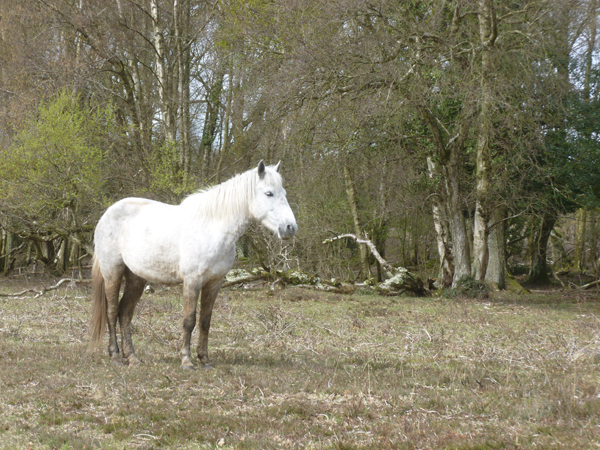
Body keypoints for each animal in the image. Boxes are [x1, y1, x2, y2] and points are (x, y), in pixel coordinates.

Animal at [91, 162, 298, 370]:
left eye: (284, 192)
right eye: (269, 193)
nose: (290, 228)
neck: (213, 229)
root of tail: (108, 213)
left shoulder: (215, 282)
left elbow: (205, 321)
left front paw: (204, 359)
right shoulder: (192, 281)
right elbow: (189, 321)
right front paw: (186, 361)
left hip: (136, 278)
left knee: (125, 313)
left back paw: (132, 358)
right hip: (113, 272)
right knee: (112, 311)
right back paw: (115, 356)